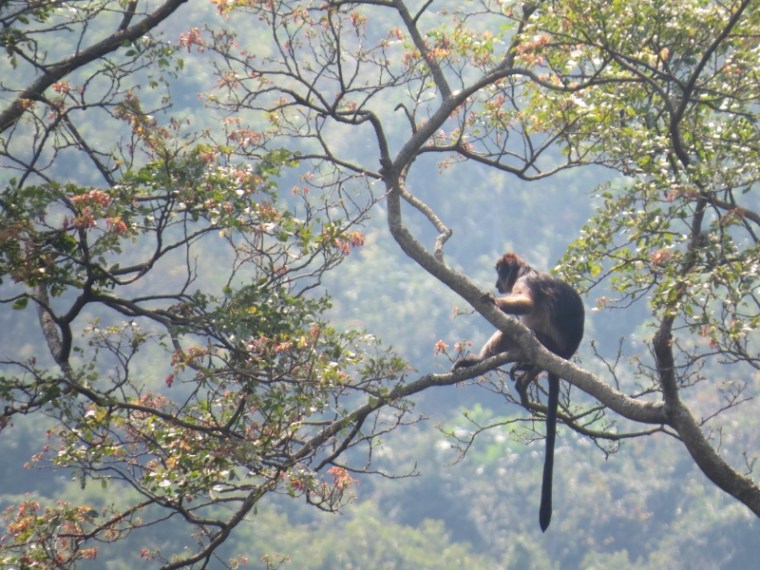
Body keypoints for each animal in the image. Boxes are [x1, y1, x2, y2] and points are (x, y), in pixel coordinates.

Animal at [452, 253, 584, 532]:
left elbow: (526, 303)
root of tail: (563, 355)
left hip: (546, 343)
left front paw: (492, 299)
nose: (497, 283)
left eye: (500, 273)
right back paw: (524, 370)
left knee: (518, 330)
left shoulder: (527, 282)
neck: (527, 269)